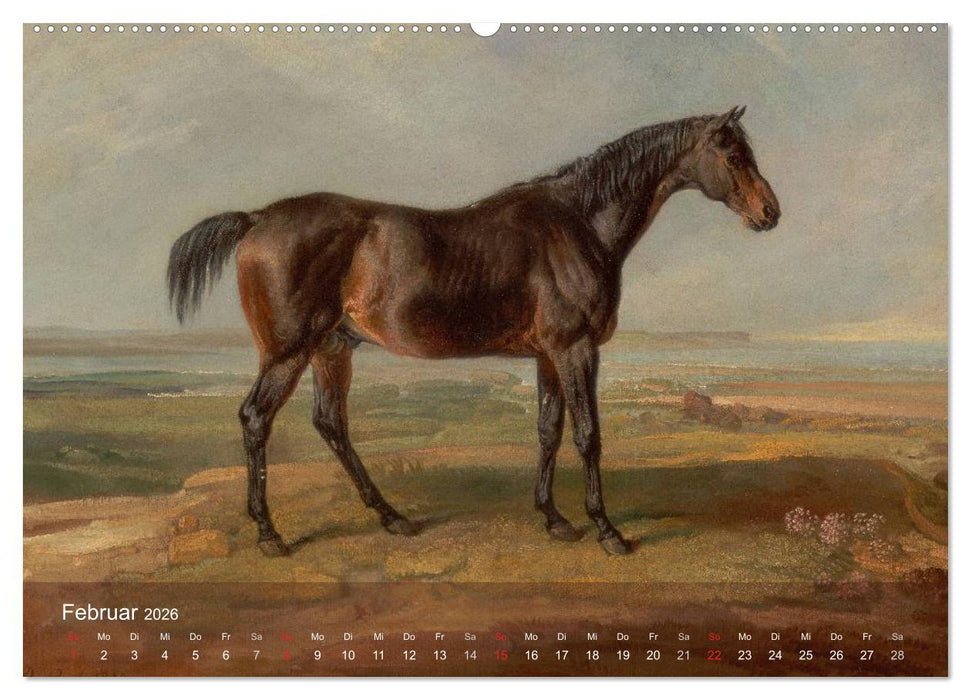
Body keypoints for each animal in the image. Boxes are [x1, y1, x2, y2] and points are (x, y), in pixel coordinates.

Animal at [167, 106, 780, 557]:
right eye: (731, 153)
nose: (769, 213)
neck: (577, 224)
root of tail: (256, 219)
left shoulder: (548, 356)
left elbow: (548, 430)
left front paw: (554, 520)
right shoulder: (575, 350)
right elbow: (588, 435)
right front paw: (608, 533)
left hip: (331, 349)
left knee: (330, 423)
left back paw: (392, 518)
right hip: (288, 351)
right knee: (256, 419)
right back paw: (270, 535)